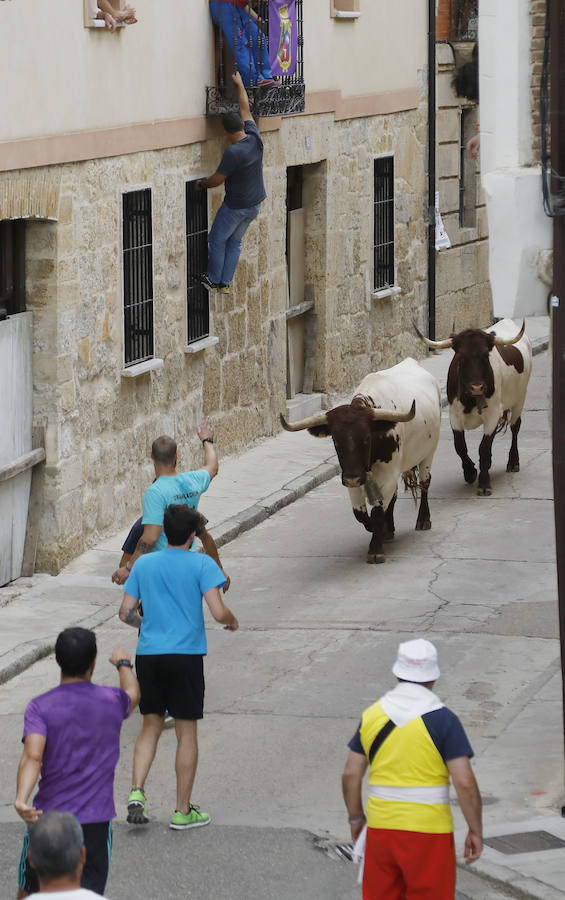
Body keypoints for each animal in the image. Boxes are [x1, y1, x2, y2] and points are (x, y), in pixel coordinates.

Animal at [280, 356, 438, 564]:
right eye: (335, 441)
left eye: (366, 438)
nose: (353, 478)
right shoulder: (353, 478)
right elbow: (361, 514)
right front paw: (380, 531)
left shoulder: (385, 475)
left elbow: (377, 512)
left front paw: (376, 549)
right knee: (395, 496)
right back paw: (389, 530)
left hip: (428, 454)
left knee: (425, 483)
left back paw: (423, 520)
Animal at [416, 318, 532, 500]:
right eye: (461, 357)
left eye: (485, 356)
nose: (477, 387)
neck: (470, 400)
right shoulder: (454, 415)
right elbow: (460, 446)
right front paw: (470, 472)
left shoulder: (492, 415)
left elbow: (483, 449)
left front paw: (484, 484)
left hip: (520, 398)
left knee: (515, 427)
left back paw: (513, 462)